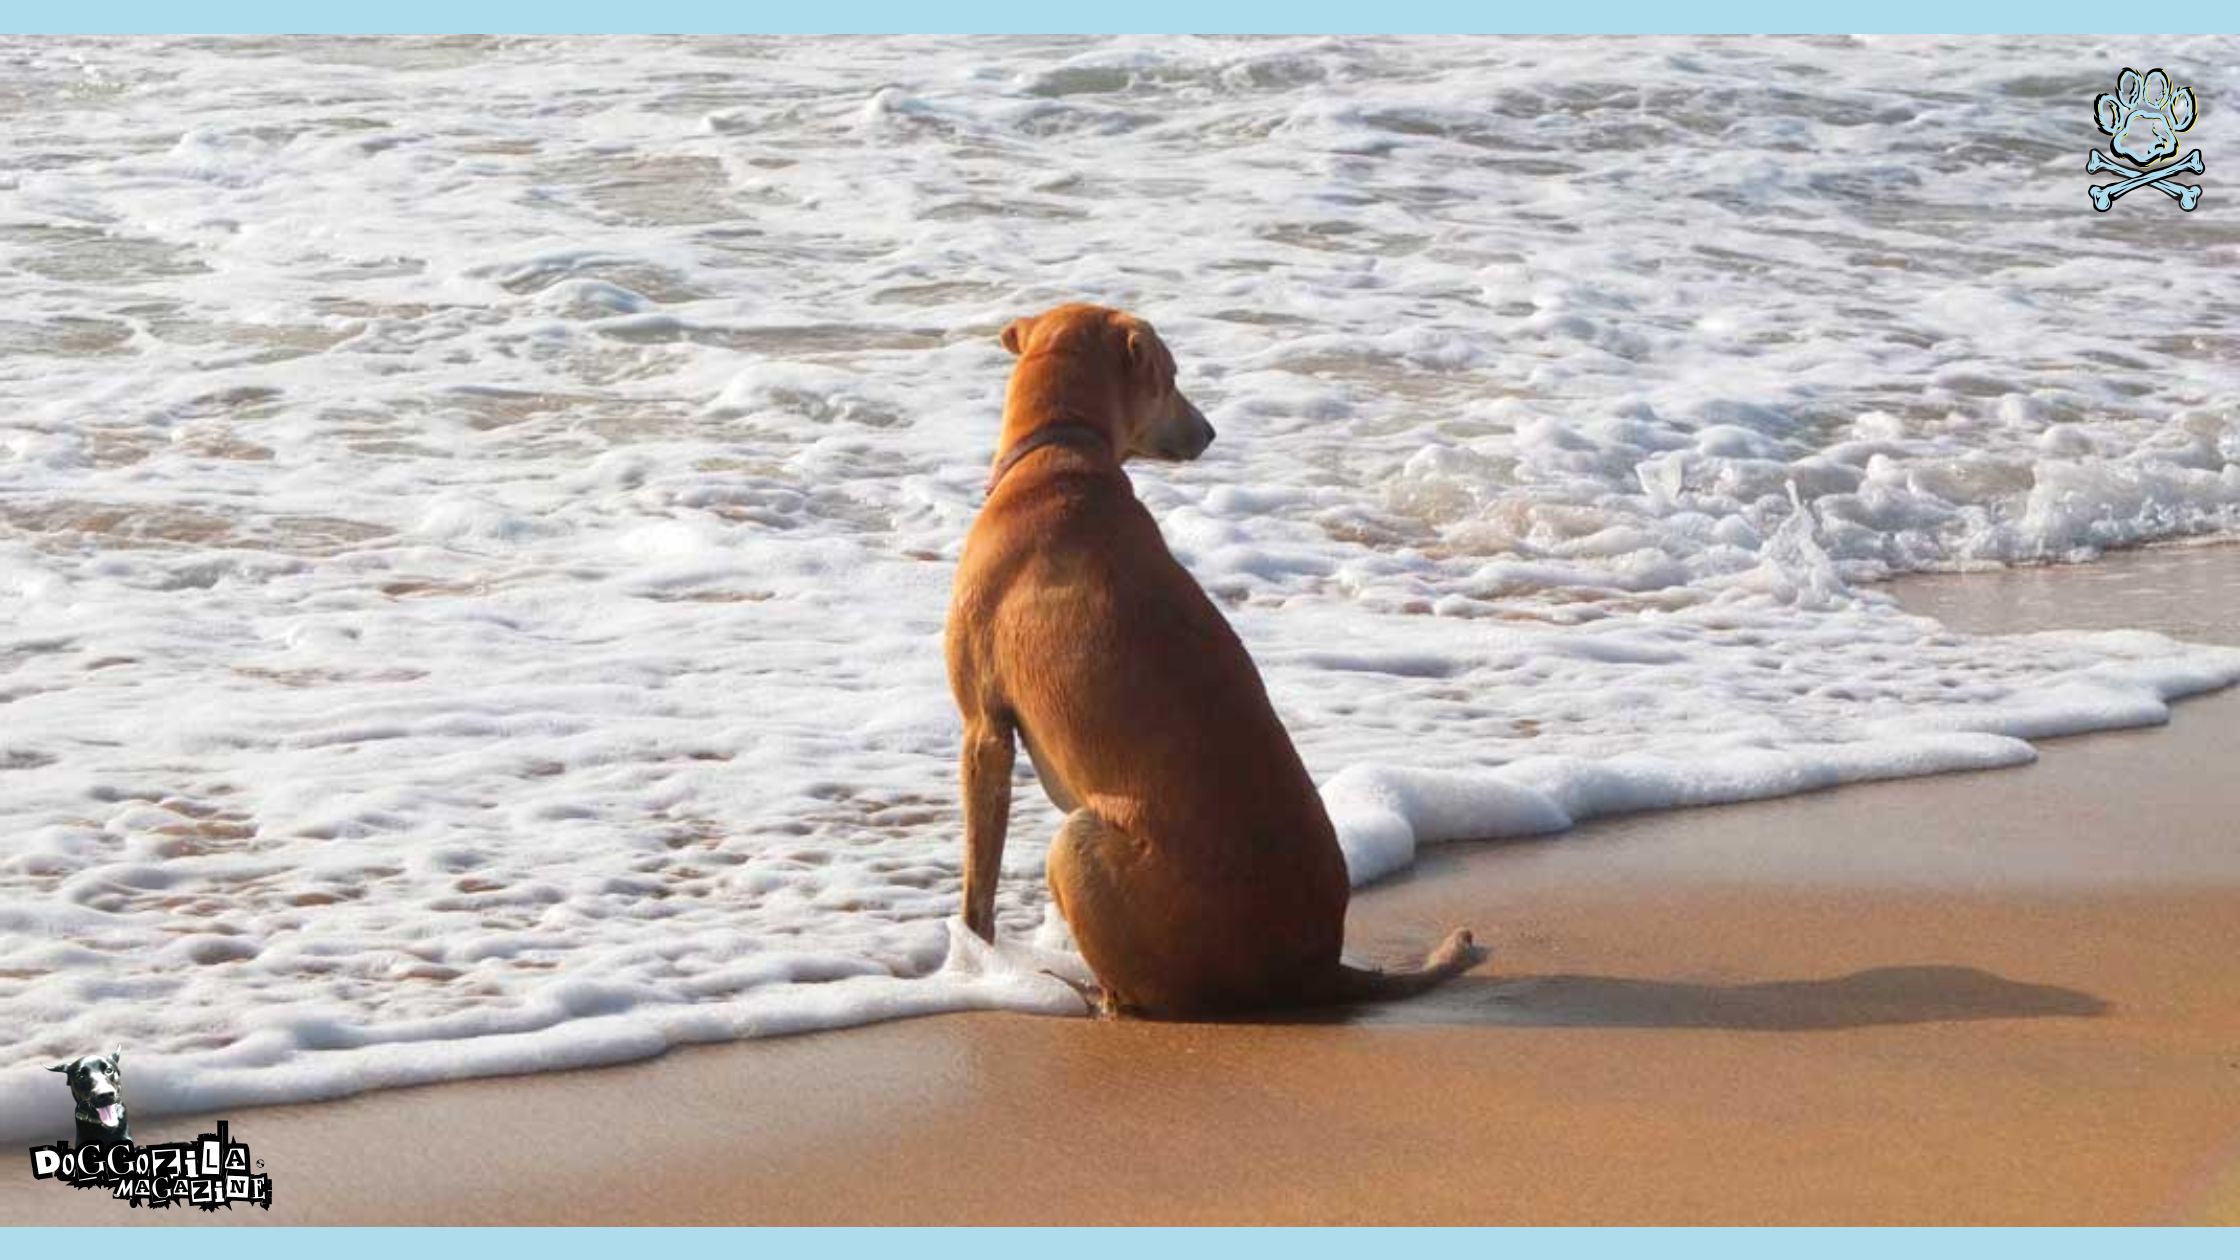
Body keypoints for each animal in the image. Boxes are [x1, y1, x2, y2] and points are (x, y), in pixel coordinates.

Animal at [940, 307, 1478, 1022]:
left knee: (1134, 997)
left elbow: (978, 887)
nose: (1210, 431)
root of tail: (1319, 968)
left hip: (1080, 839)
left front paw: (968, 956)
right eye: (1171, 378)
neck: (1061, 454)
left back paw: (1081, 989)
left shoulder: (985, 730)